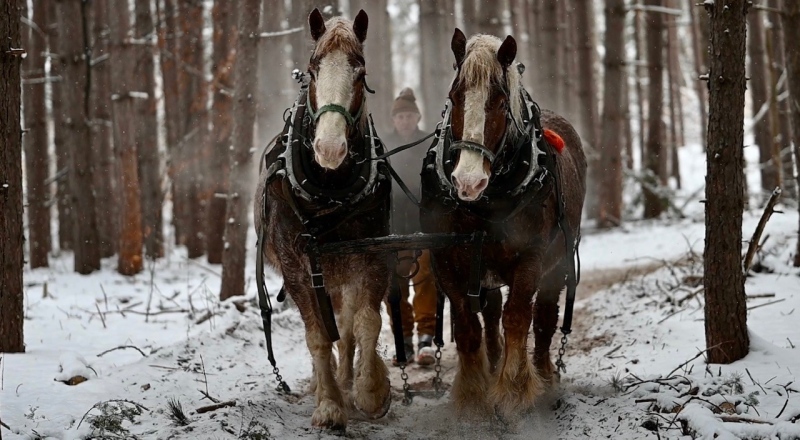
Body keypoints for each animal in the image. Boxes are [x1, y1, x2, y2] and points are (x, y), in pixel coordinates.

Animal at [255, 8, 392, 432]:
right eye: (313, 71)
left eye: (360, 72)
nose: (329, 148)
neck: (329, 192)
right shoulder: (297, 266)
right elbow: (316, 335)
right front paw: (329, 404)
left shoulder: (371, 253)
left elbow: (365, 322)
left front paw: (370, 389)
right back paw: (325, 381)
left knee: (345, 328)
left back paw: (347, 379)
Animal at [418, 31, 588, 420]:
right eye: (455, 95)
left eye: (498, 101)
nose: (468, 181)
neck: (485, 202)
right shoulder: (446, 260)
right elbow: (468, 326)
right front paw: (473, 394)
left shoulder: (531, 258)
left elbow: (518, 318)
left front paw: (514, 389)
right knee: (492, 315)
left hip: (556, 263)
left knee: (543, 318)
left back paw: (543, 374)